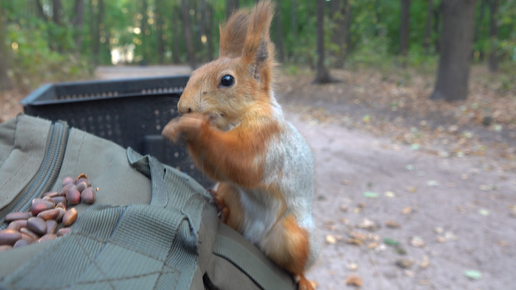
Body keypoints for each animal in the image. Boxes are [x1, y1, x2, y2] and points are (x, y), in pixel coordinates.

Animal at [162, 1, 318, 288]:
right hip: (233, 195)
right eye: (195, 72)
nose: (183, 107)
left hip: (294, 238)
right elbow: (222, 168)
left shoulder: (266, 142)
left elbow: (243, 164)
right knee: (232, 216)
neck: (232, 123)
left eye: (227, 80)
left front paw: (193, 127)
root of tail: (254, 237)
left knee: (293, 262)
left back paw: (302, 278)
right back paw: (221, 209)